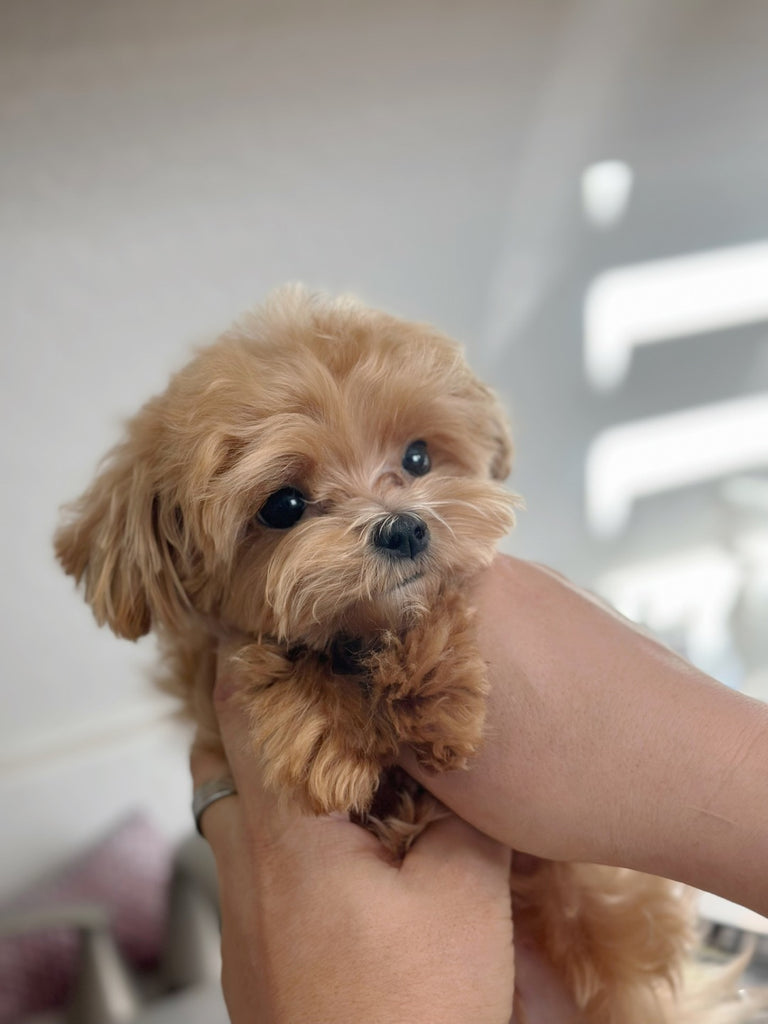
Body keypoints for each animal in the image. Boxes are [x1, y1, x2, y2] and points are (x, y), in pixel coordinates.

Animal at [55, 288, 753, 1024]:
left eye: (417, 459)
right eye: (284, 505)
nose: (404, 527)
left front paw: (434, 692)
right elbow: (269, 666)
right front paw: (326, 730)